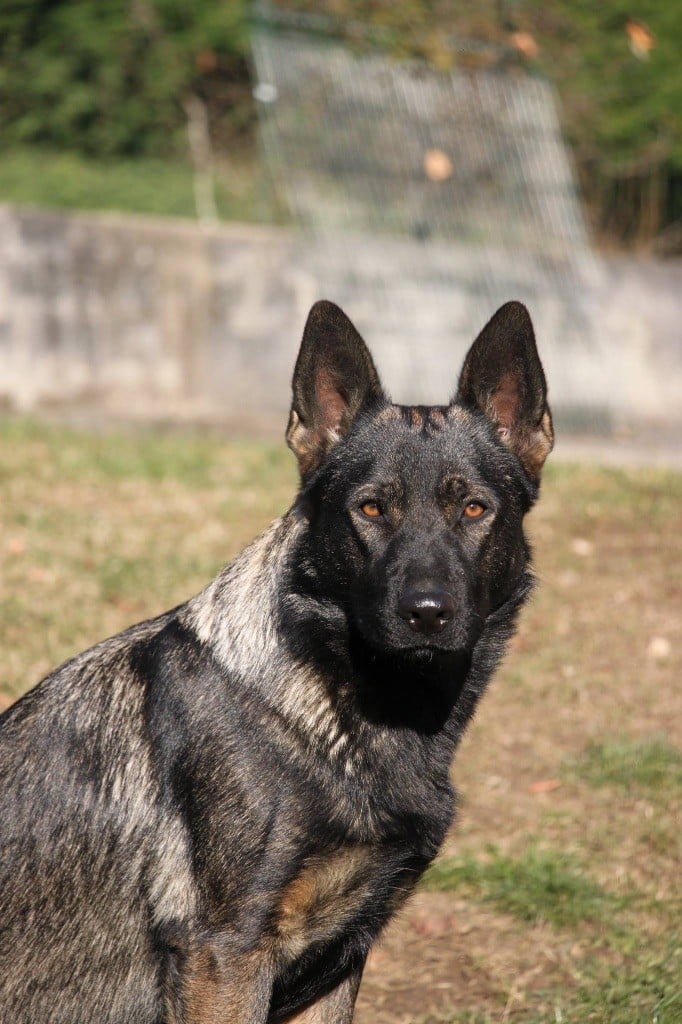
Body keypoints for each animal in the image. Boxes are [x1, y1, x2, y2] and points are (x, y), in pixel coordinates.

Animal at [0, 299, 548, 1019]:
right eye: (372, 508)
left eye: (474, 509)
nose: (426, 612)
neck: (337, 709)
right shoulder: (227, 957)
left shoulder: (341, 959)